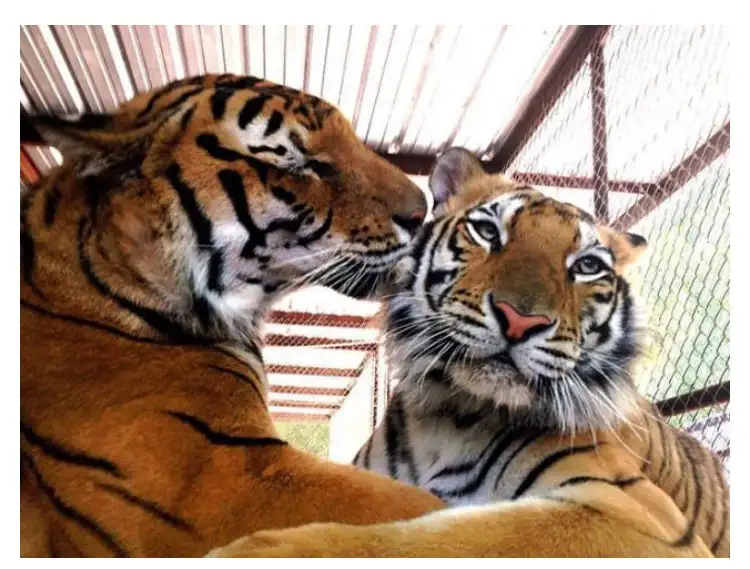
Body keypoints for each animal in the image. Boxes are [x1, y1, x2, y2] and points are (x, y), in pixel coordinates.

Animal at [210, 147, 730, 558]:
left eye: (586, 266)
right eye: (488, 232)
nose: (520, 320)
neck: (447, 419)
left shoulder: (639, 515)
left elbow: (446, 540)